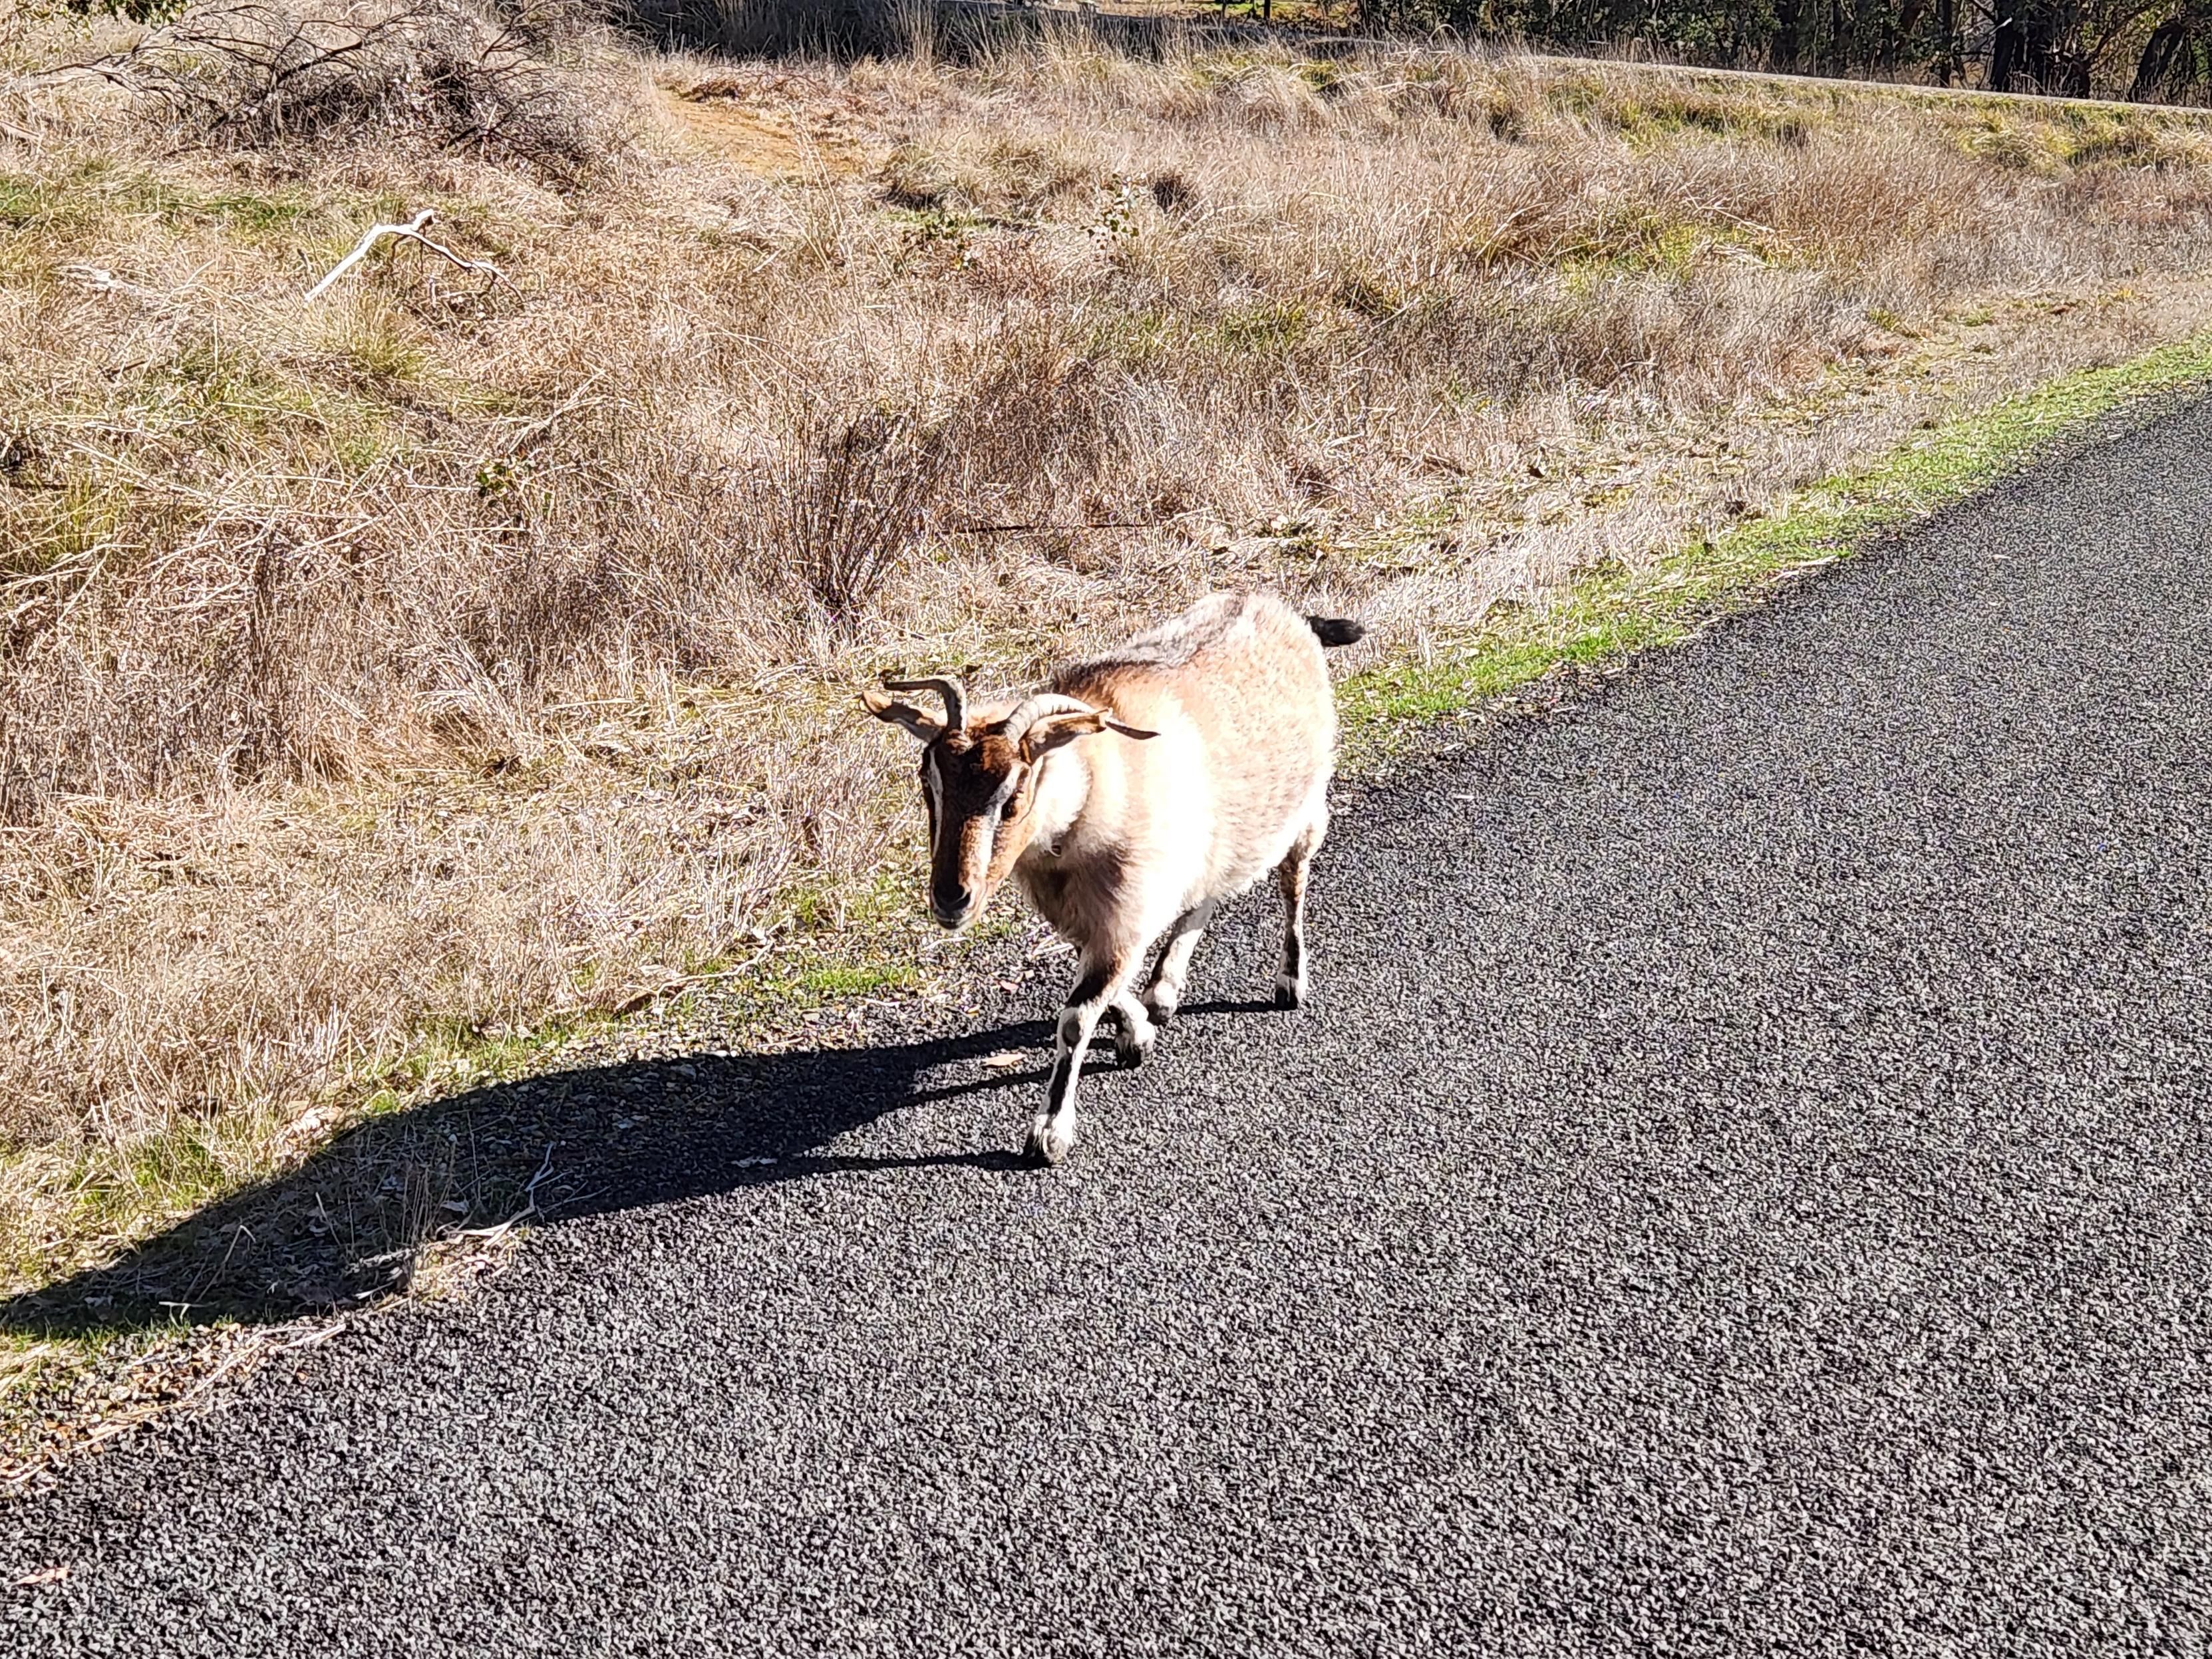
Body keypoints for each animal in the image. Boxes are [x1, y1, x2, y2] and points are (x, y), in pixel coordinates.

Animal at [864, 591, 1365, 1164]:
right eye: (928, 784)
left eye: (1014, 795)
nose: (951, 899)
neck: (1097, 789)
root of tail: (1286, 614)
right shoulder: (1095, 918)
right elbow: (1111, 987)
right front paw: (1138, 1031)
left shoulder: (1125, 913)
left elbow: (1076, 1017)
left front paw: (1049, 1132)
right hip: (1211, 841)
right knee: (1204, 895)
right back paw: (1164, 989)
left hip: (1303, 809)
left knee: (1292, 881)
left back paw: (1289, 980)